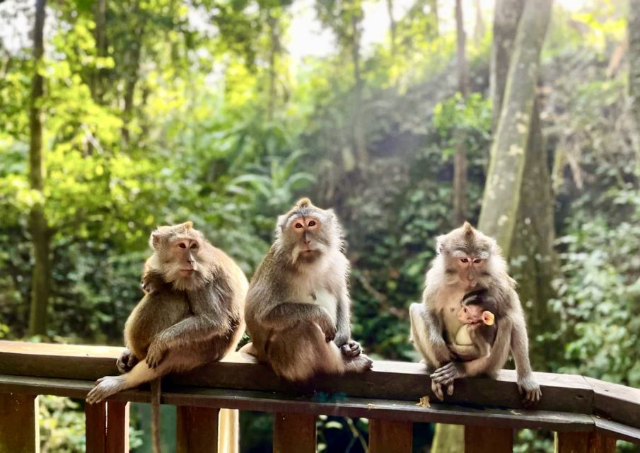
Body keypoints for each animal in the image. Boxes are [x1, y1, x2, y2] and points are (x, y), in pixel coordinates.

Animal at [85, 222, 245, 452]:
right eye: (182, 245)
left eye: (193, 246)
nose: (191, 260)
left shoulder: (201, 277)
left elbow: (213, 319)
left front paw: (160, 342)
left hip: (202, 348)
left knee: (172, 295)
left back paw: (123, 380)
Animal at [240, 198, 372, 382]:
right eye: (298, 226)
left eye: (311, 223)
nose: (307, 240)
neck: (309, 263)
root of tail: (259, 353)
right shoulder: (277, 269)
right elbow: (264, 315)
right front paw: (321, 315)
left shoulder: (336, 261)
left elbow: (341, 298)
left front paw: (346, 341)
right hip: (283, 360)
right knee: (306, 326)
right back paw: (344, 365)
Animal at [410, 222, 540, 402]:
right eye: (464, 260)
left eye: (477, 261)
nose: (471, 277)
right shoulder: (436, 279)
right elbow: (429, 311)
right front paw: (439, 348)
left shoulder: (497, 279)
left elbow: (515, 318)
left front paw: (526, 379)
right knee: (415, 309)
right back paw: (439, 365)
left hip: (490, 365)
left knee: (507, 321)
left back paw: (461, 369)